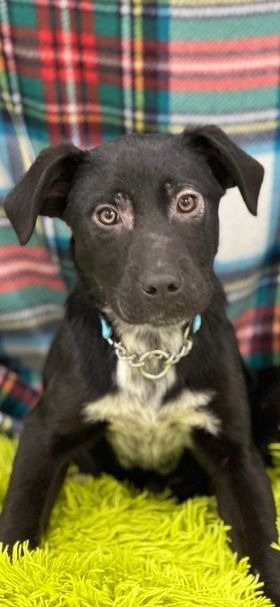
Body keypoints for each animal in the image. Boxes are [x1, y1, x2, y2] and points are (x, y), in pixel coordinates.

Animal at [0, 126, 280, 604]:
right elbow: (18, 516)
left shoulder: (235, 451)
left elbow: (264, 538)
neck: (152, 351)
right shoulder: (43, 430)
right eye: (107, 215)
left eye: (187, 202)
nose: (163, 285)